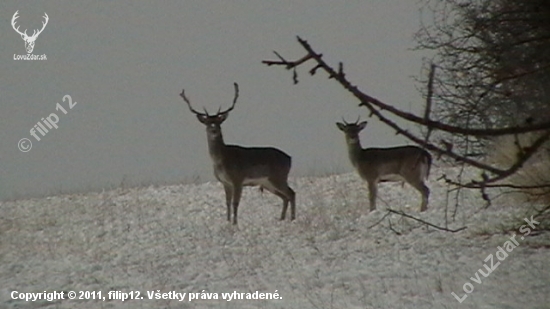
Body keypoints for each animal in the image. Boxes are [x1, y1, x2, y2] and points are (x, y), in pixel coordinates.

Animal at [182, 83, 298, 224]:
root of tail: (289, 158)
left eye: (219, 122)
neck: (221, 159)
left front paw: (234, 223)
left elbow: (235, 203)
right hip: (268, 182)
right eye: (208, 123)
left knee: (291, 193)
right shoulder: (225, 182)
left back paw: (292, 219)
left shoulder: (238, 179)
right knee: (284, 197)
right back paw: (281, 219)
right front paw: (227, 221)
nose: (214, 130)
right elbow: (227, 202)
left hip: (278, 177)